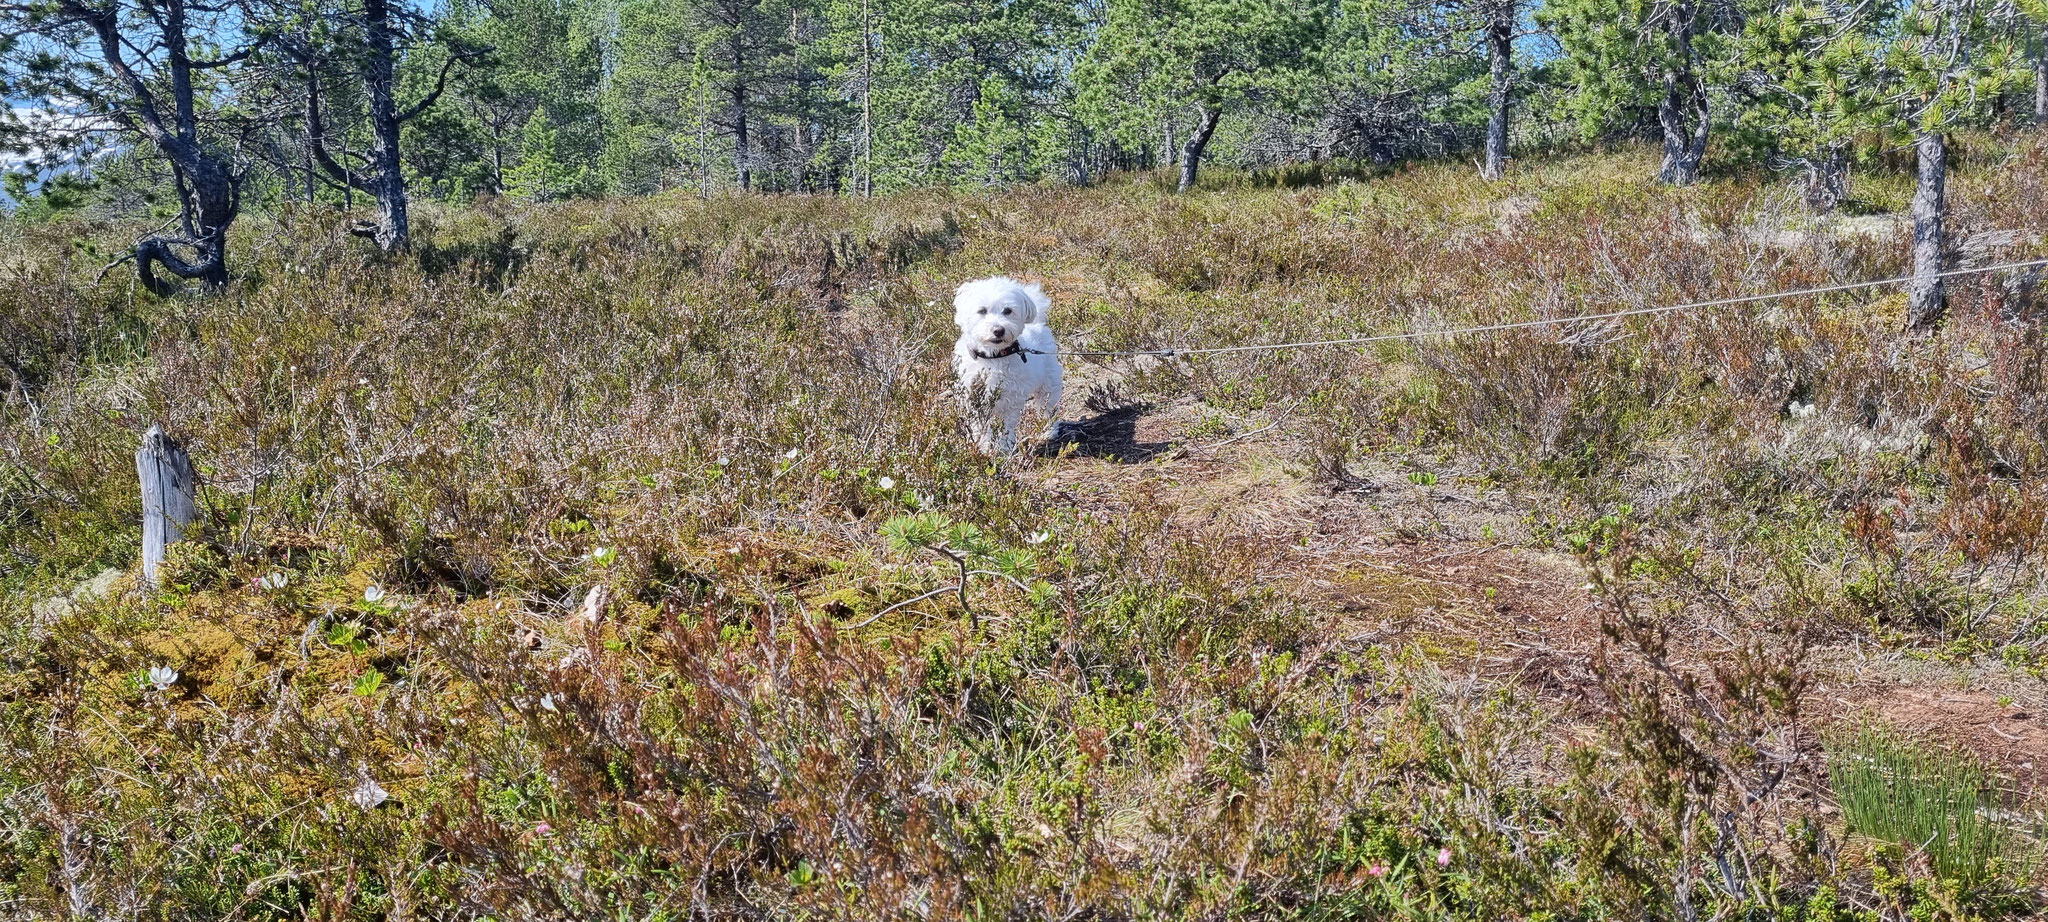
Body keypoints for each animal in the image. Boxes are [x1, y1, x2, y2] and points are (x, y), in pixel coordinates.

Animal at [950, 276, 1064, 456]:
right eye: (982, 311)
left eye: (1008, 311)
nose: (998, 330)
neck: (992, 357)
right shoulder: (974, 400)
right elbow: (981, 427)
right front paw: (984, 447)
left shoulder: (1011, 401)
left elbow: (1006, 427)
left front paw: (1004, 448)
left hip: (1048, 385)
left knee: (1047, 408)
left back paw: (1048, 431)